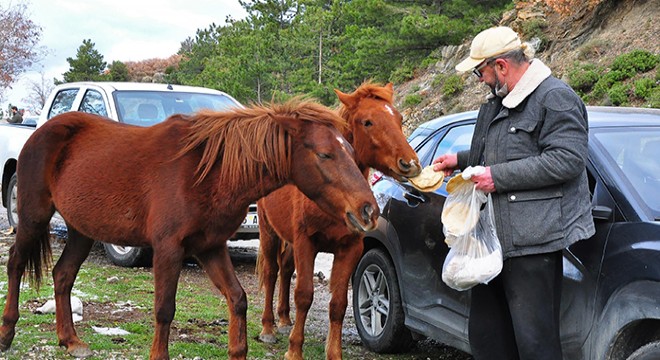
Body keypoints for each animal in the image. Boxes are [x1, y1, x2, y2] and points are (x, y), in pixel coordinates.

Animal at [0, 99, 378, 360]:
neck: (207, 172)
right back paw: (7, 333)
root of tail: (42, 130)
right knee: (16, 263)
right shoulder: (169, 249)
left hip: (82, 230)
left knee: (63, 275)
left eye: (350, 150)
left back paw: (71, 340)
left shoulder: (210, 247)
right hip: (33, 218)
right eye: (326, 154)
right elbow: (164, 308)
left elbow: (238, 300)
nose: (369, 211)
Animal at [255, 83, 420, 358]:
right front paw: (294, 350)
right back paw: (268, 328)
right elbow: (304, 295)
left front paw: (333, 352)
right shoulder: (306, 243)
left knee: (286, 269)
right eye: (368, 122)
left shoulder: (349, 249)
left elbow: (338, 304)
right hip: (268, 231)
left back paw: (284, 320)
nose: (410, 164)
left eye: (399, 118)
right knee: (271, 272)